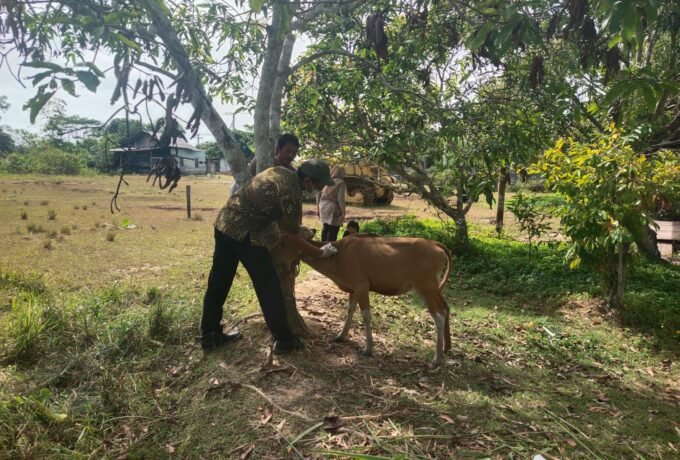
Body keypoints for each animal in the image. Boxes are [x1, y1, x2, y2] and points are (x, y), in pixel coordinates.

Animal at [300, 234, 452, 367]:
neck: (339, 255)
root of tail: (435, 244)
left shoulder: (362, 285)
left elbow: (366, 315)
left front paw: (368, 348)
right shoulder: (353, 289)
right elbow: (350, 309)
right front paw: (341, 335)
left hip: (426, 289)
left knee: (439, 315)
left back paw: (437, 359)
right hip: (434, 289)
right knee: (446, 307)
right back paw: (446, 348)